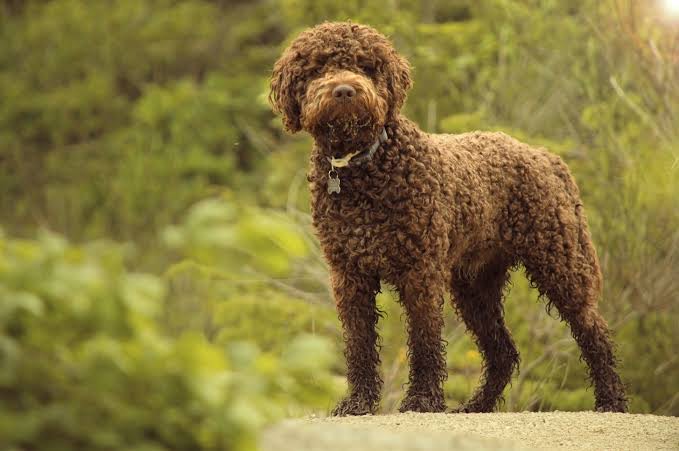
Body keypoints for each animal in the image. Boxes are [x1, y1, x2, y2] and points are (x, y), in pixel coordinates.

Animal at [270, 21, 628, 416]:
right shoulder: (349, 275)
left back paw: (611, 399)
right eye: (318, 68)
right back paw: (477, 405)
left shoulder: (421, 271)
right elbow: (359, 343)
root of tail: (543, 155)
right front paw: (359, 402)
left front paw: (422, 399)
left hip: (559, 263)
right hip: (475, 287)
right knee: (503, 352)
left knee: (593, 331)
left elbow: (424, 339)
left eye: (366, 66)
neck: (365, 168)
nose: (345, 90)